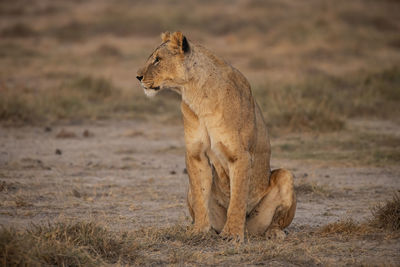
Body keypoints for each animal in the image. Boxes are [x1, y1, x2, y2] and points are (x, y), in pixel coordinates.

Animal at [138, 31, 296, 243]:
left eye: (157, 59)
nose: (138, 77)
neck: (195, 93)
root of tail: (250, 230)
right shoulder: (195, 153)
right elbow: (200, 195)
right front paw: (199, 230)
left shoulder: (240, 155)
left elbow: (237, 199)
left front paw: (232, 234)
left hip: (285, 177)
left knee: (275, 219)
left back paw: (273, 232)